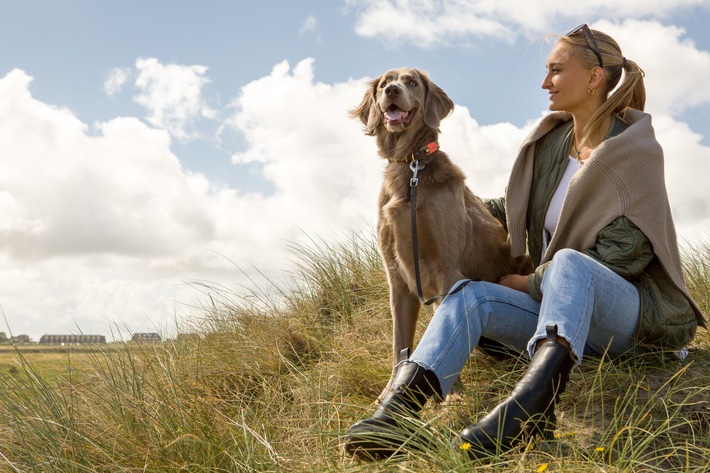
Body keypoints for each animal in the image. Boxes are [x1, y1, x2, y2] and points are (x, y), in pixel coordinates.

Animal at [354, 68, 532, 388]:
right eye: (385, 83)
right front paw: (390, 390)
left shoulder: (446, 270)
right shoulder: (397, 278)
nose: (392, 91)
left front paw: (454, 395)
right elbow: (399, 343)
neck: (412, 168)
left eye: (411, 82)